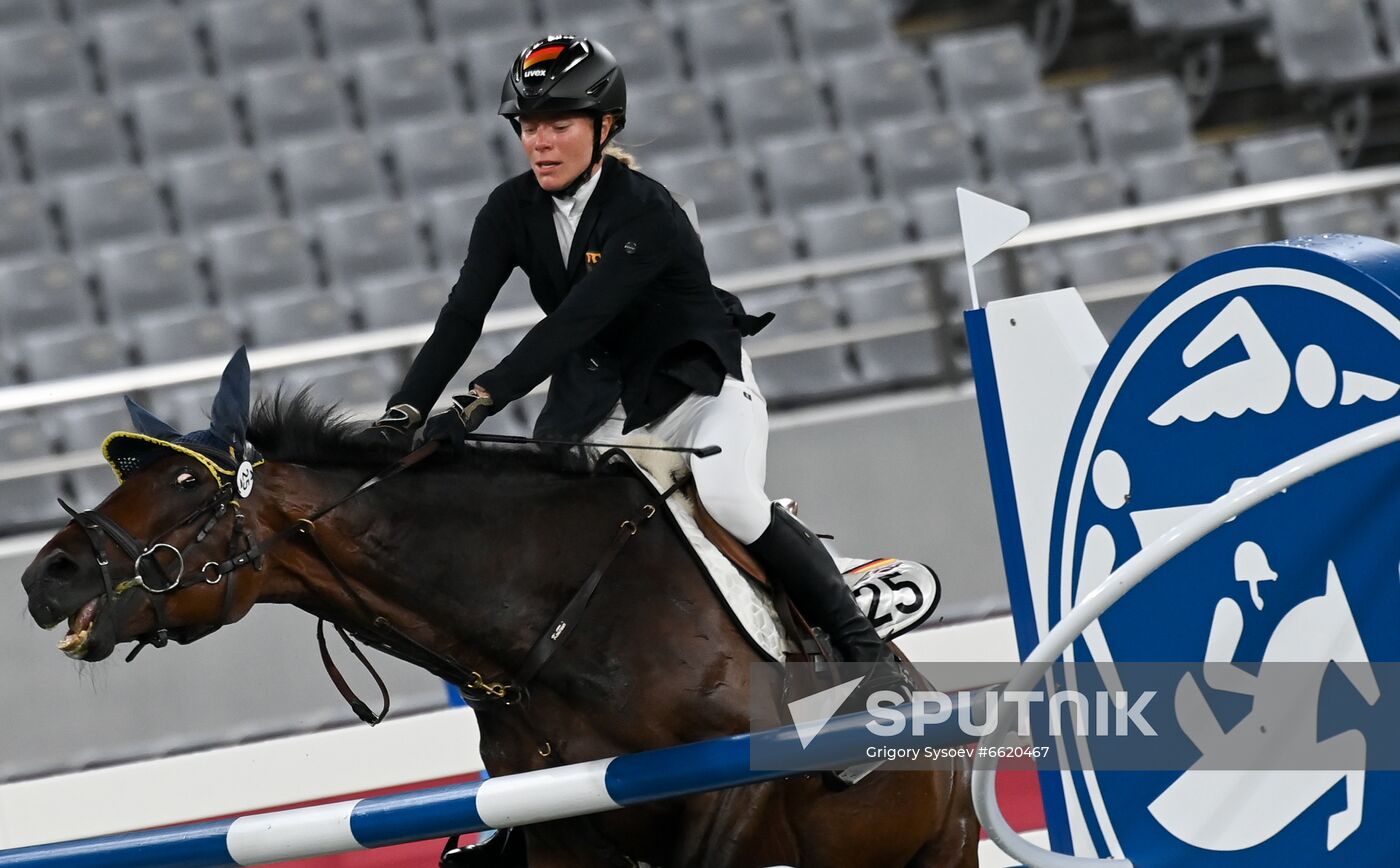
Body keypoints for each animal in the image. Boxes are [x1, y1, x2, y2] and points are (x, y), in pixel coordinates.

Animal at [24, 348, 985, 862]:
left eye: (188, 484)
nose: (47, 578)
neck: (551, 628)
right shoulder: (564, 831)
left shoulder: (737, 799)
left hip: (940, 847)